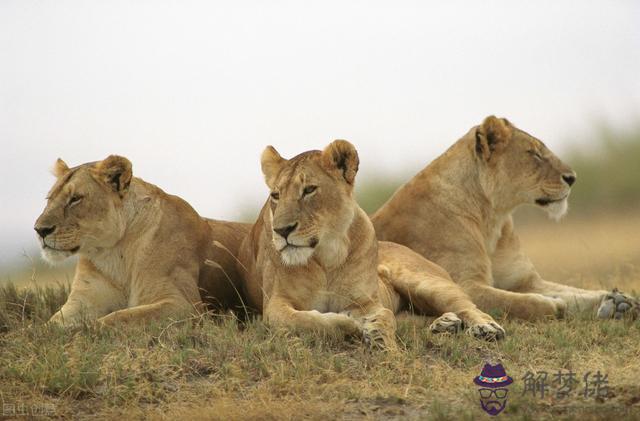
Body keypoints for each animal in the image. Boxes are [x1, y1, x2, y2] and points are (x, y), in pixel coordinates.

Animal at [33, 154, 250, 324]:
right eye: (49, 199)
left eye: (75, 199)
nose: (40, 230)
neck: (113, 252)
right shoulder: (81, 302)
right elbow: (48, 326)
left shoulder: (184, 304)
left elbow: (115, 319)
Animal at [238, 139, 508, 346]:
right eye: (275, 195)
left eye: (309, 190)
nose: (282, 230)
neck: (326, 255)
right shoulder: (275, 304)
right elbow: (306, 319)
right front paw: (347, 323)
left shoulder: (367, 301)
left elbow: (384, 316)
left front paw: (376, 332)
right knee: (415, 319)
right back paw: (445, 324)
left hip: (426, 283)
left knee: (466, 305)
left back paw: (486, 328)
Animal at [372, 115, 636, 318]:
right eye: (534, 154)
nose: (572, 178)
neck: (492, 218)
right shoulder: (465, 284)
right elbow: (521, 301)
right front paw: (554, 305)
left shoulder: (525, 281)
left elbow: (573, 292)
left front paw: (618, 301)